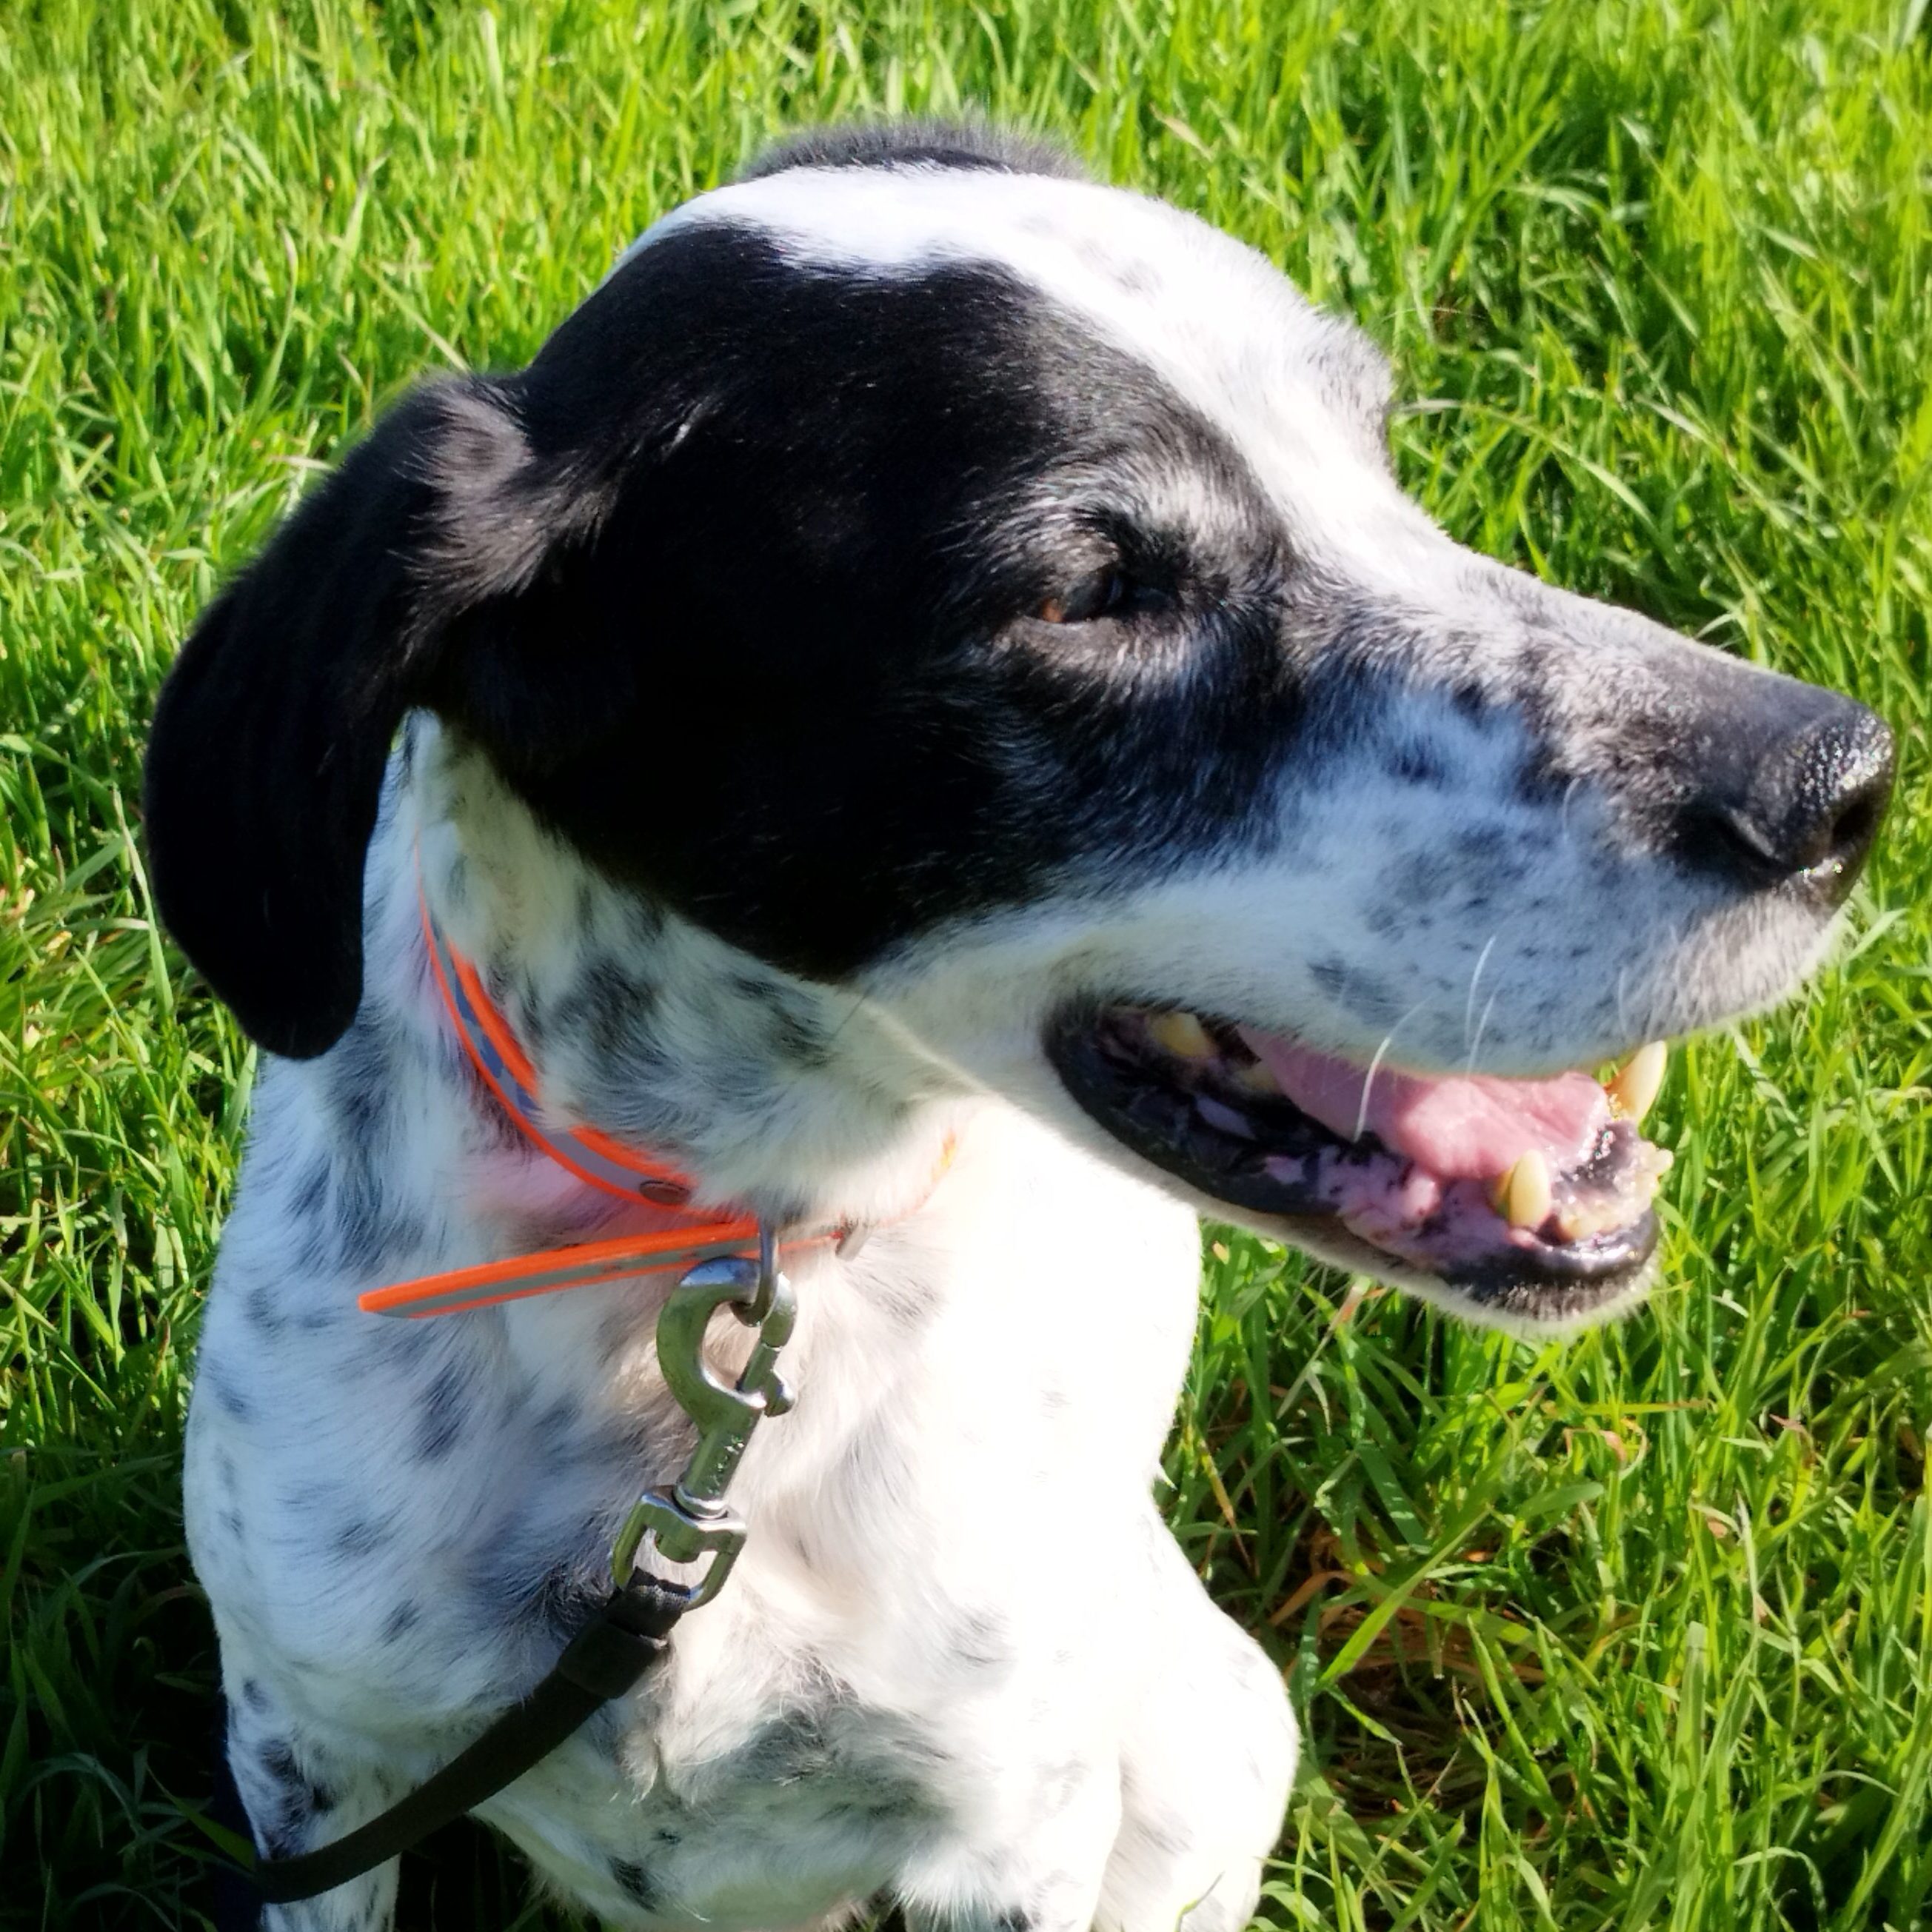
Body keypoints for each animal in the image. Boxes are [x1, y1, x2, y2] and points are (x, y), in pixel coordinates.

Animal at [145, 122, 1893, 1931]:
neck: (729, 1280)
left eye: (1372, 455)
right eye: (1086, 592)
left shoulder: (1008, 1824)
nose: (1842, 783)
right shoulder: (314, 1761)